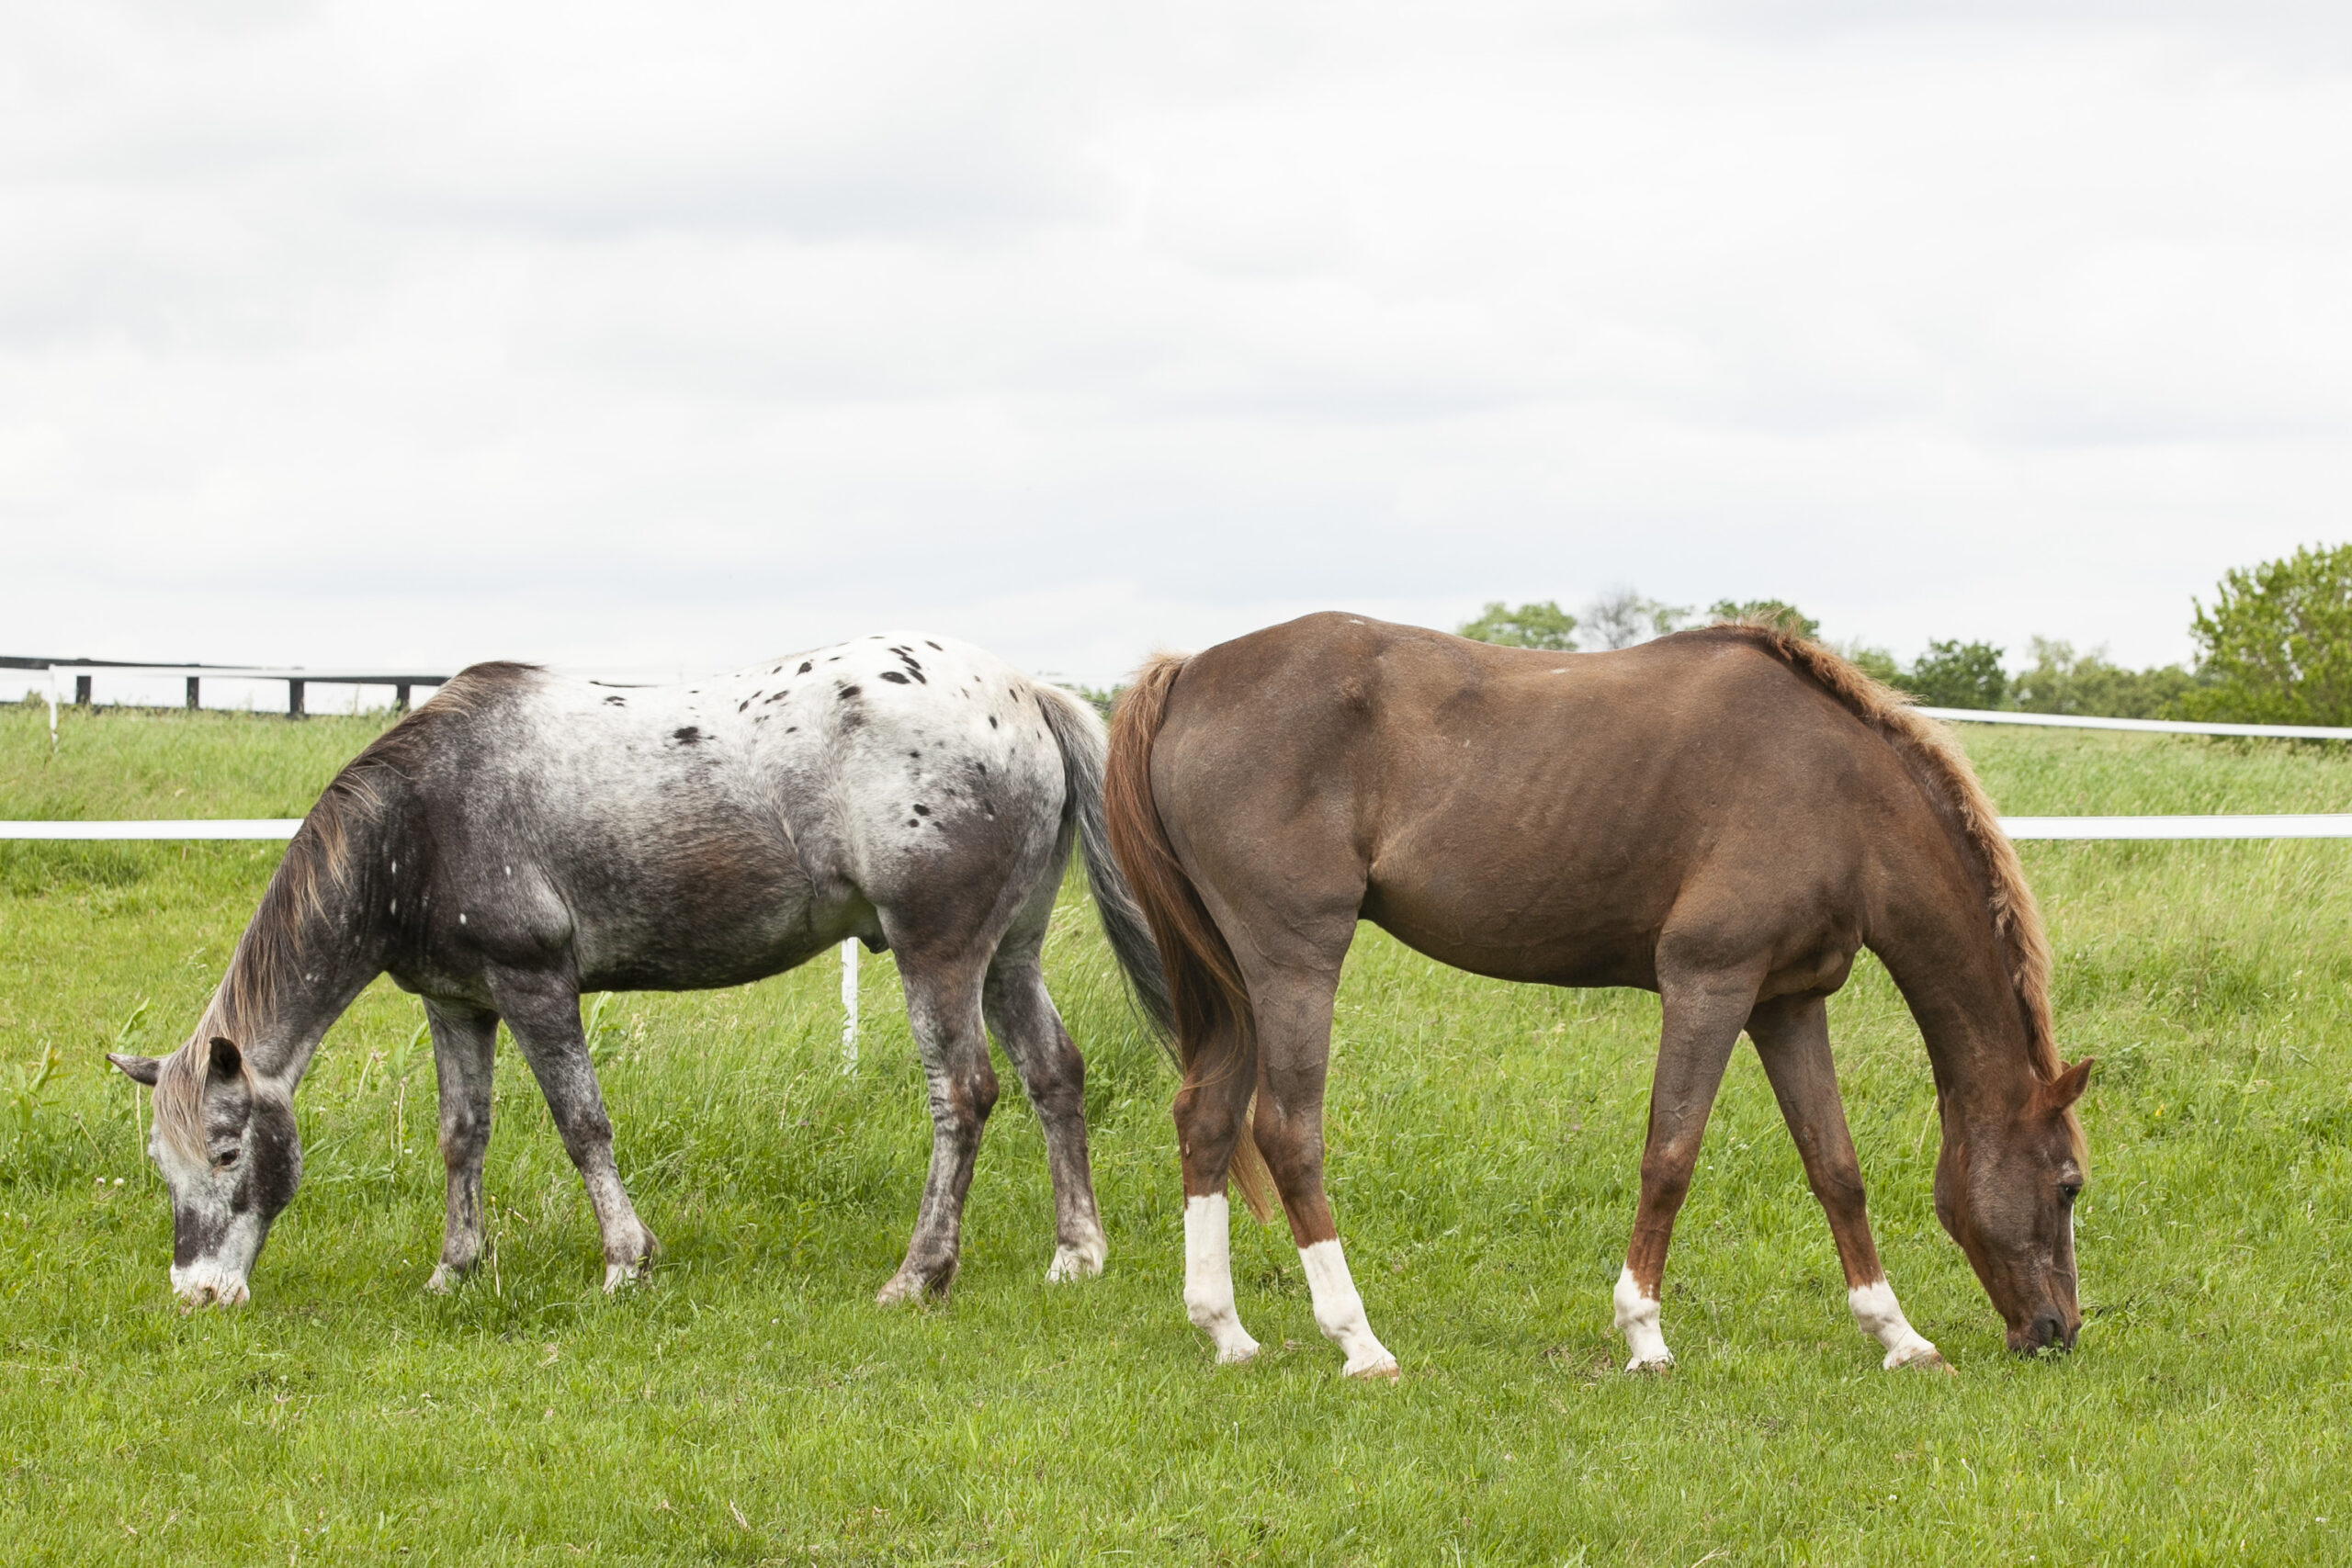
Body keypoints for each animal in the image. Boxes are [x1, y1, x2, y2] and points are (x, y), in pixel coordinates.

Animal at [106, 639, 1161, 1316]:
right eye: (163, 1163)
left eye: (229, 1153)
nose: (198, 1294)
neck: (423, 816)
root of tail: (1025, 692)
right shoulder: (457, 1005)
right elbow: (461, 1138)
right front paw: (455, 1270)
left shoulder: (535, 987)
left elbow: (582, 1125)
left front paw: (626, 1264)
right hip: (1008, 955)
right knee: (1053, 1074)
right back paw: (1077, 1254)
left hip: (937, 955)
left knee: (965, 1092)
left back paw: (919, 1275)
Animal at [1101, 611, 2098, 1372]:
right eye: (2069, 1184)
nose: (2056, 1330)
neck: (1840, 796)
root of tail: (1189, 673)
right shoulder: (1708, 982)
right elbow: (1671, 1155)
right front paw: (1643, 1334)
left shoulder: (1785, 1003)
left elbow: (1834, 1168)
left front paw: (1897, 1334)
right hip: (1294, 962)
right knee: (1286, 1133)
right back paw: (1359, 1341)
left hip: (1237, 982)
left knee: (1206, 1122)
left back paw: (1227, 1332)